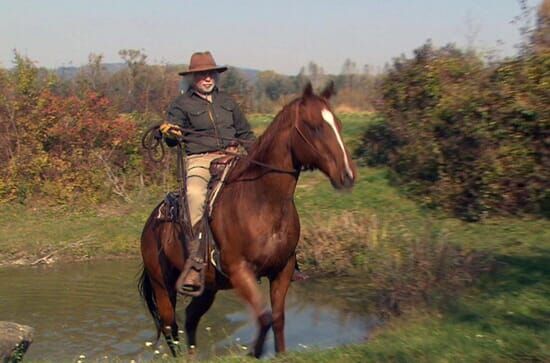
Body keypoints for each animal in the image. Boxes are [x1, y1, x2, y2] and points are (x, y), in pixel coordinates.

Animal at [138, 82, 358, 358]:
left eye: (338, 124)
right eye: (314, 126)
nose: (347, 175)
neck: (262, 201)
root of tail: (150, 224)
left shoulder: (282, 270)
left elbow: (277, 319)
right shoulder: (241, 271)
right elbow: (264, 318)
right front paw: (254, 352)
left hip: (207, 288)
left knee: (190, 318)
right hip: (162, 286)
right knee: (170, 326)